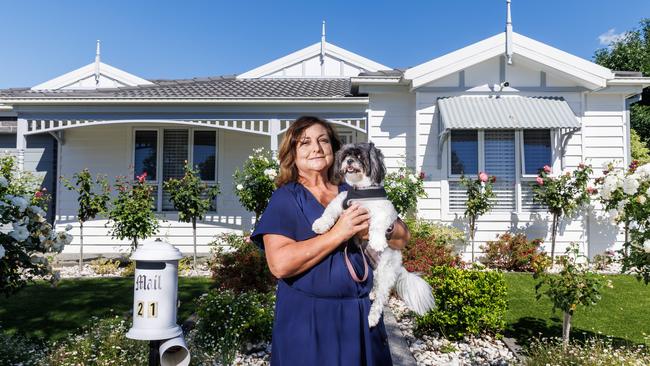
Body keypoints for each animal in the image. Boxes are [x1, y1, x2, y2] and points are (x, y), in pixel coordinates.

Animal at [310, 142, 432, 326]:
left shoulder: (385, 211)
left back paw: (372, 318)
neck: (361, 191)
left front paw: (377, 241)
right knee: (375, 283)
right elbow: (329, 211)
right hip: (374, 268)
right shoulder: (341, 202)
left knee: (382, 298)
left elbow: (378, 224)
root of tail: (399, 266)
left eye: (360, 156)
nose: (349, 161)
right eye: (346, 155)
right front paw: (320, 224)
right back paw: (372, 293)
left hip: (386, 270)